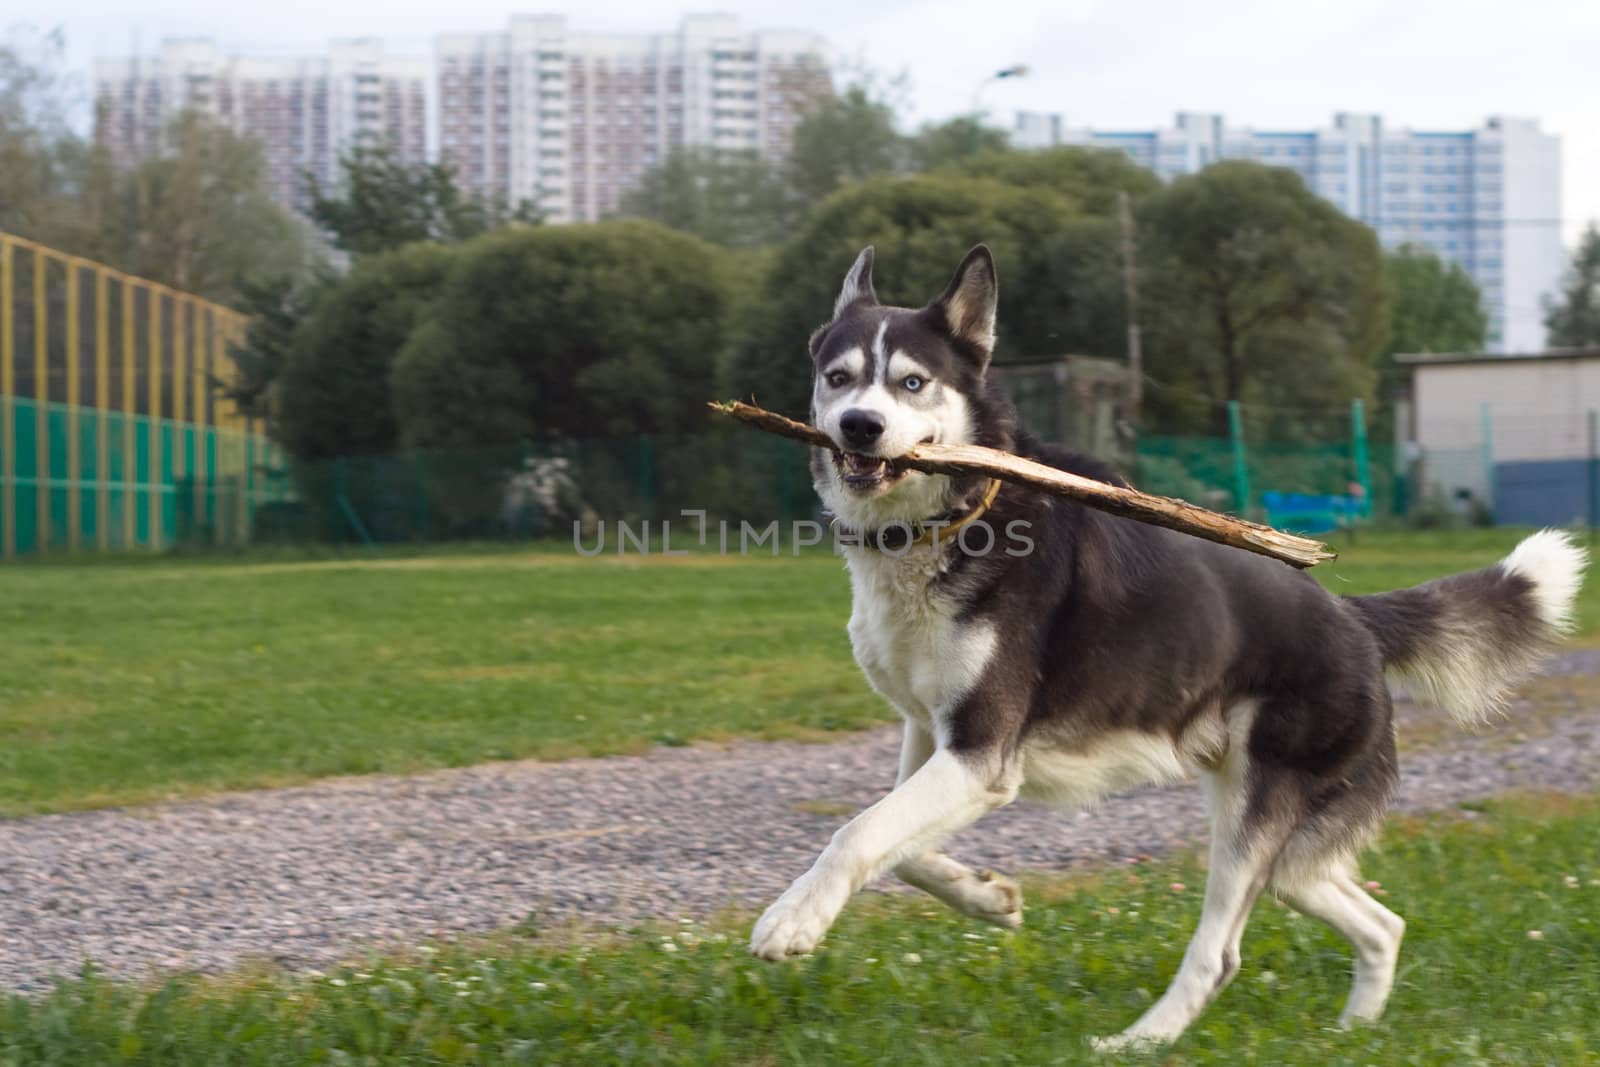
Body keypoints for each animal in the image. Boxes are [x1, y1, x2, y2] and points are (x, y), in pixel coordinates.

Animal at [748, 244, 1587, 1043]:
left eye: (912, 383)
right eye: (839, 377)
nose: (859, 425)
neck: (952, 519)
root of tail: (1353, 619)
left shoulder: (983, 754)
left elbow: (856, 831)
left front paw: (792, 919)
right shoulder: (937, 739)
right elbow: (904, 846)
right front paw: (987, 897)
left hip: (1256, 818)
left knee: (1221, 954)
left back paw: (1141, 1039)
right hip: (1290, 852)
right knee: (1381, 922)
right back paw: (1353, 1030)